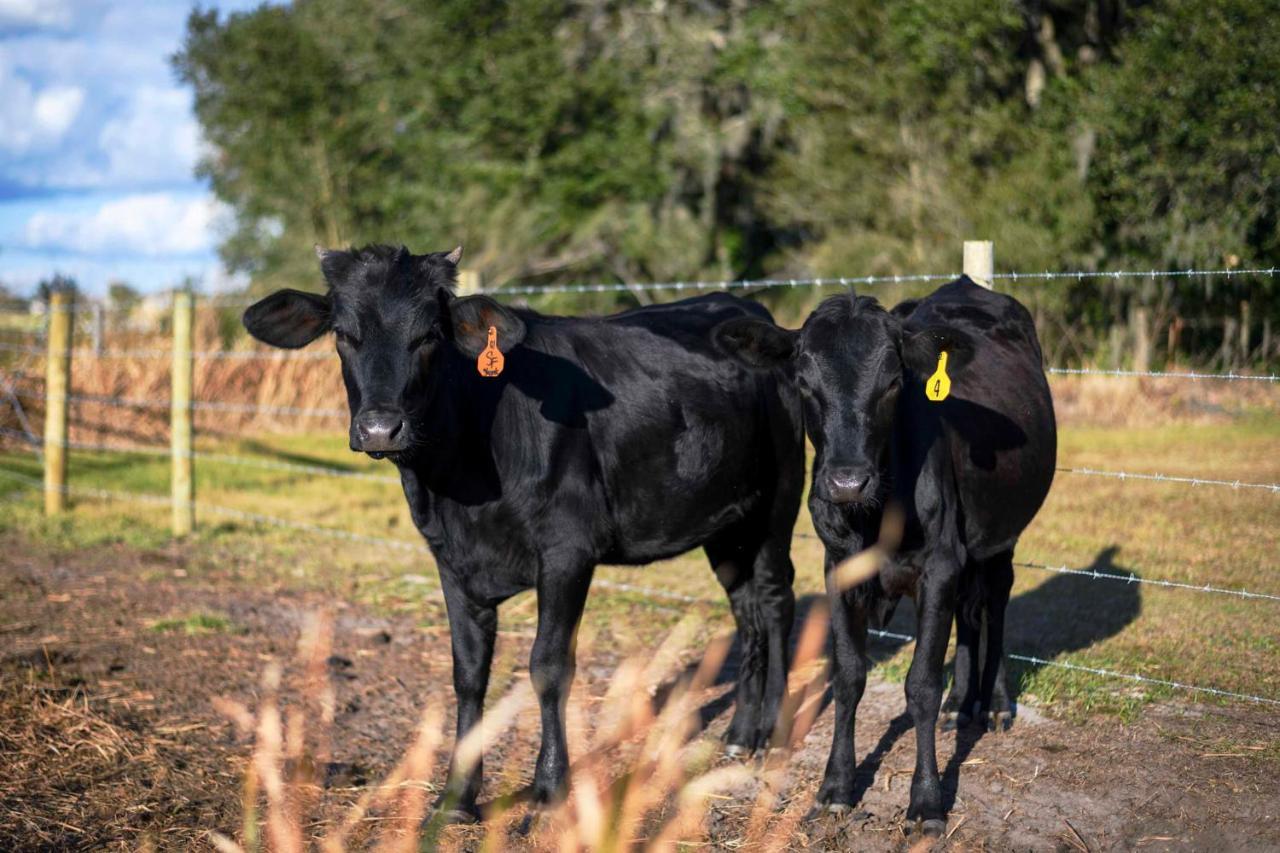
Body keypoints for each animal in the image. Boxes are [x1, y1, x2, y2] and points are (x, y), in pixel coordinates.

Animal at [240, 244, 798, 819]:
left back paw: (774, 734)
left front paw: (550, 788)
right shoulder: (451, 561)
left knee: (776, 602)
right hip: (728, 525)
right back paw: (740, 734)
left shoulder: (567, 550)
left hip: (779, 497)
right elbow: (468, 673)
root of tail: (744, 306)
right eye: (343, 334)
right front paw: (457, 794)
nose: (379, 428)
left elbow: (547, 666)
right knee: (746, 611)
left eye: (430, 335)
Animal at [716, 277, 1054, 829]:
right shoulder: (839, 568)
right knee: (970, 611)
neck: (871, 519)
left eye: (894, 381)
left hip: (1002, 530)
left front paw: (927, 800)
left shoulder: (938, 564)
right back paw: (960, 705)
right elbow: (849, 675)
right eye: (804, 381)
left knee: (997, 599)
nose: (847, 481)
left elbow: (920, 685)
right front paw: (836, 785)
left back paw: (997, 703)